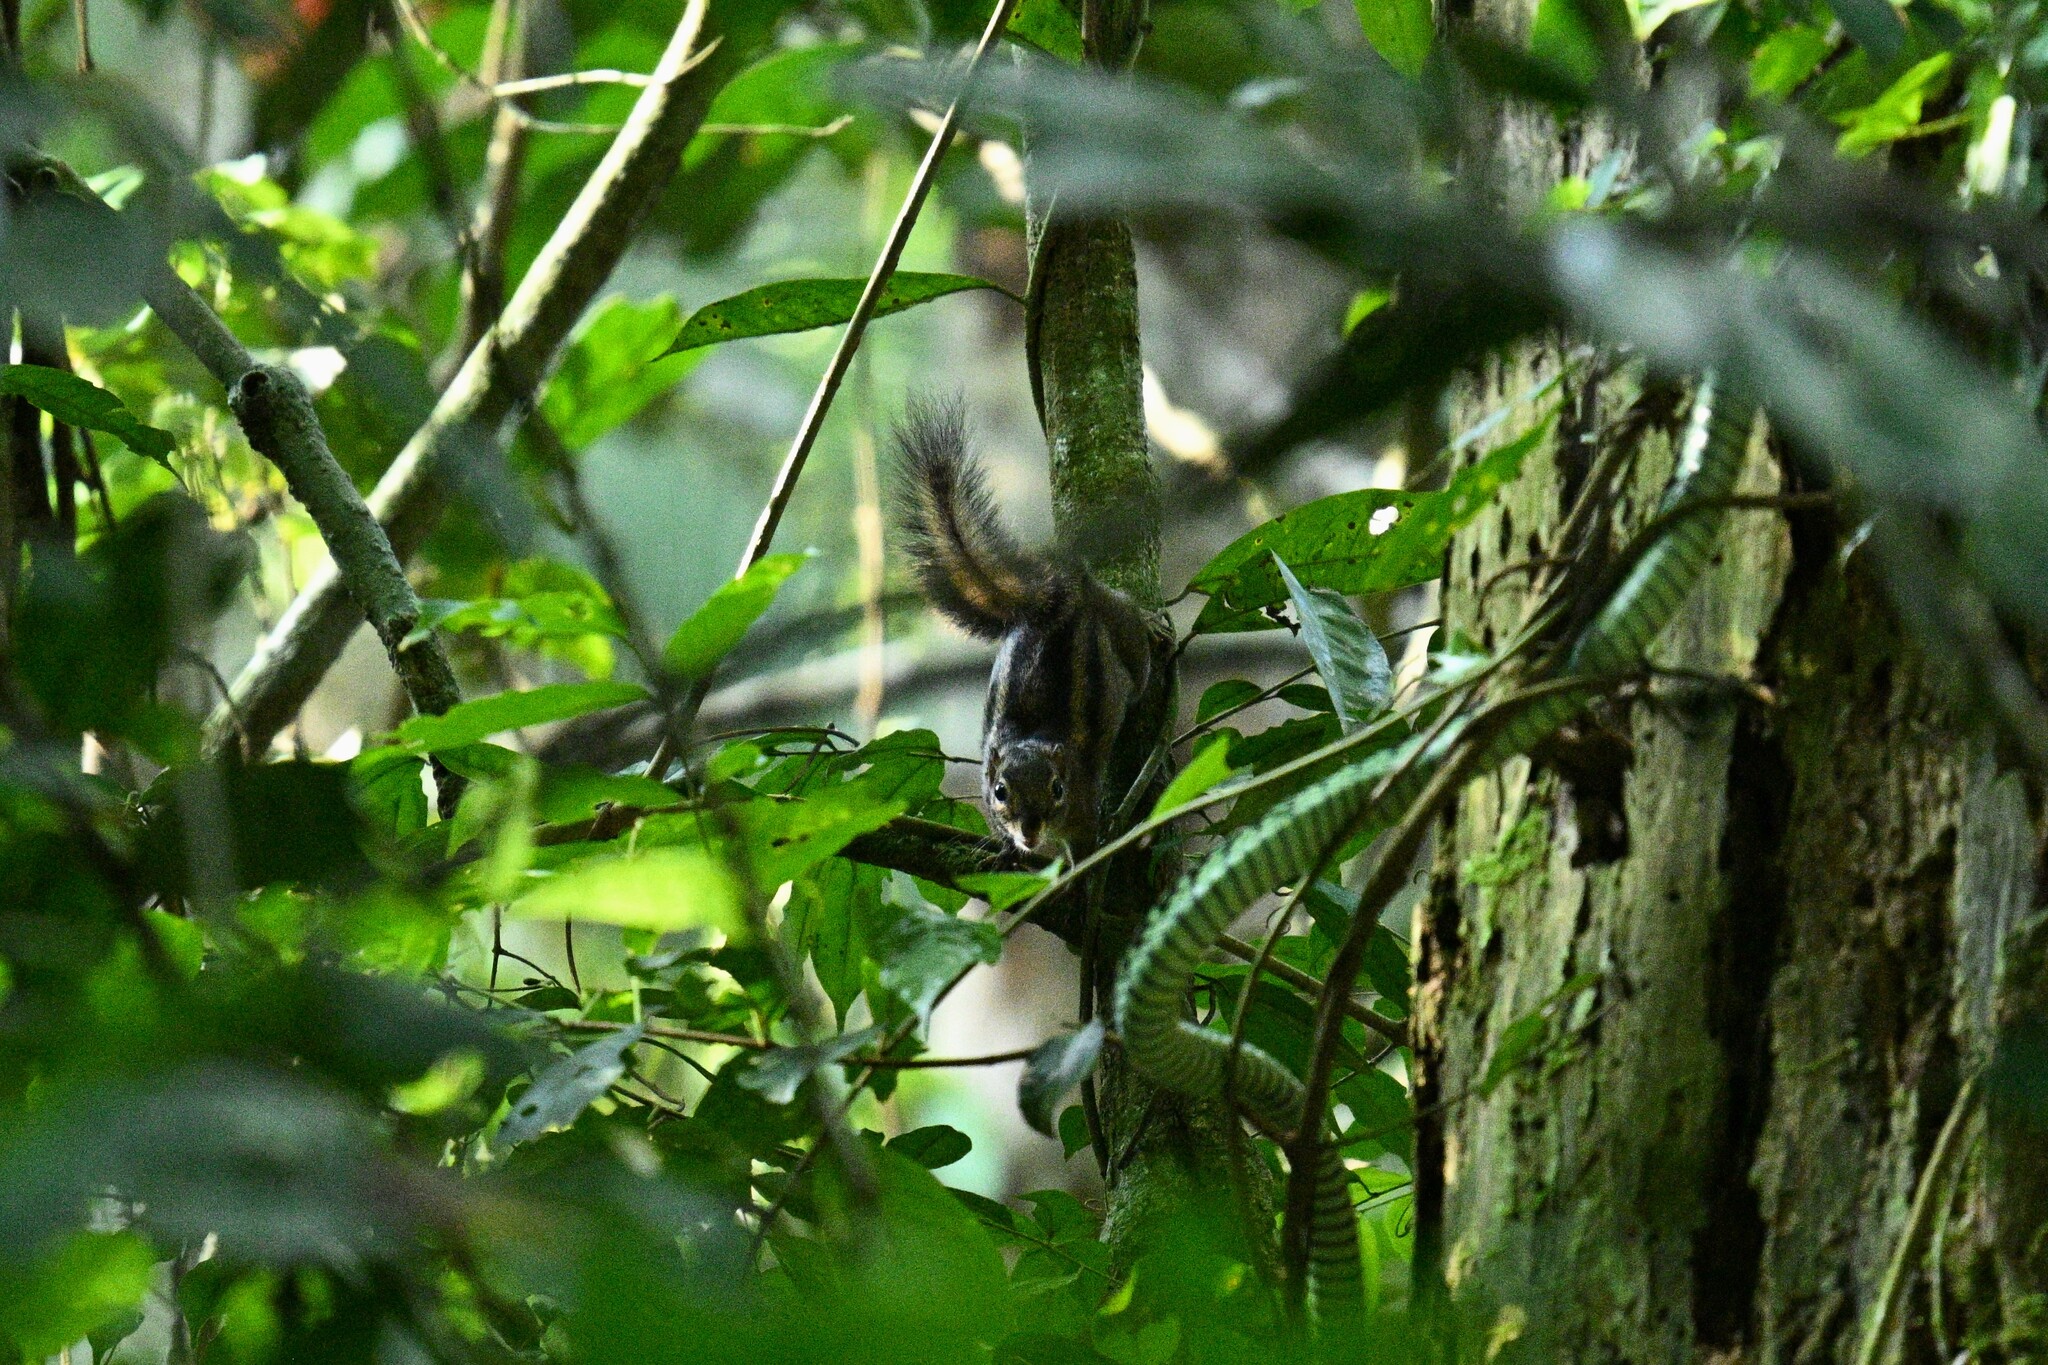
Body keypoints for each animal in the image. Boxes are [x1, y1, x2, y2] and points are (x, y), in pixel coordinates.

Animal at [894, 399, 1160, 860]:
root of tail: (1068, 589)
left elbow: (1086, 851)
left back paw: (1153, 626)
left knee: (1133, 634)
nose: (1030, 831)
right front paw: (1005, 851)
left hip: (1122, 633)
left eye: (1057, 789)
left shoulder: (1083, 806)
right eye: (1000, 791)